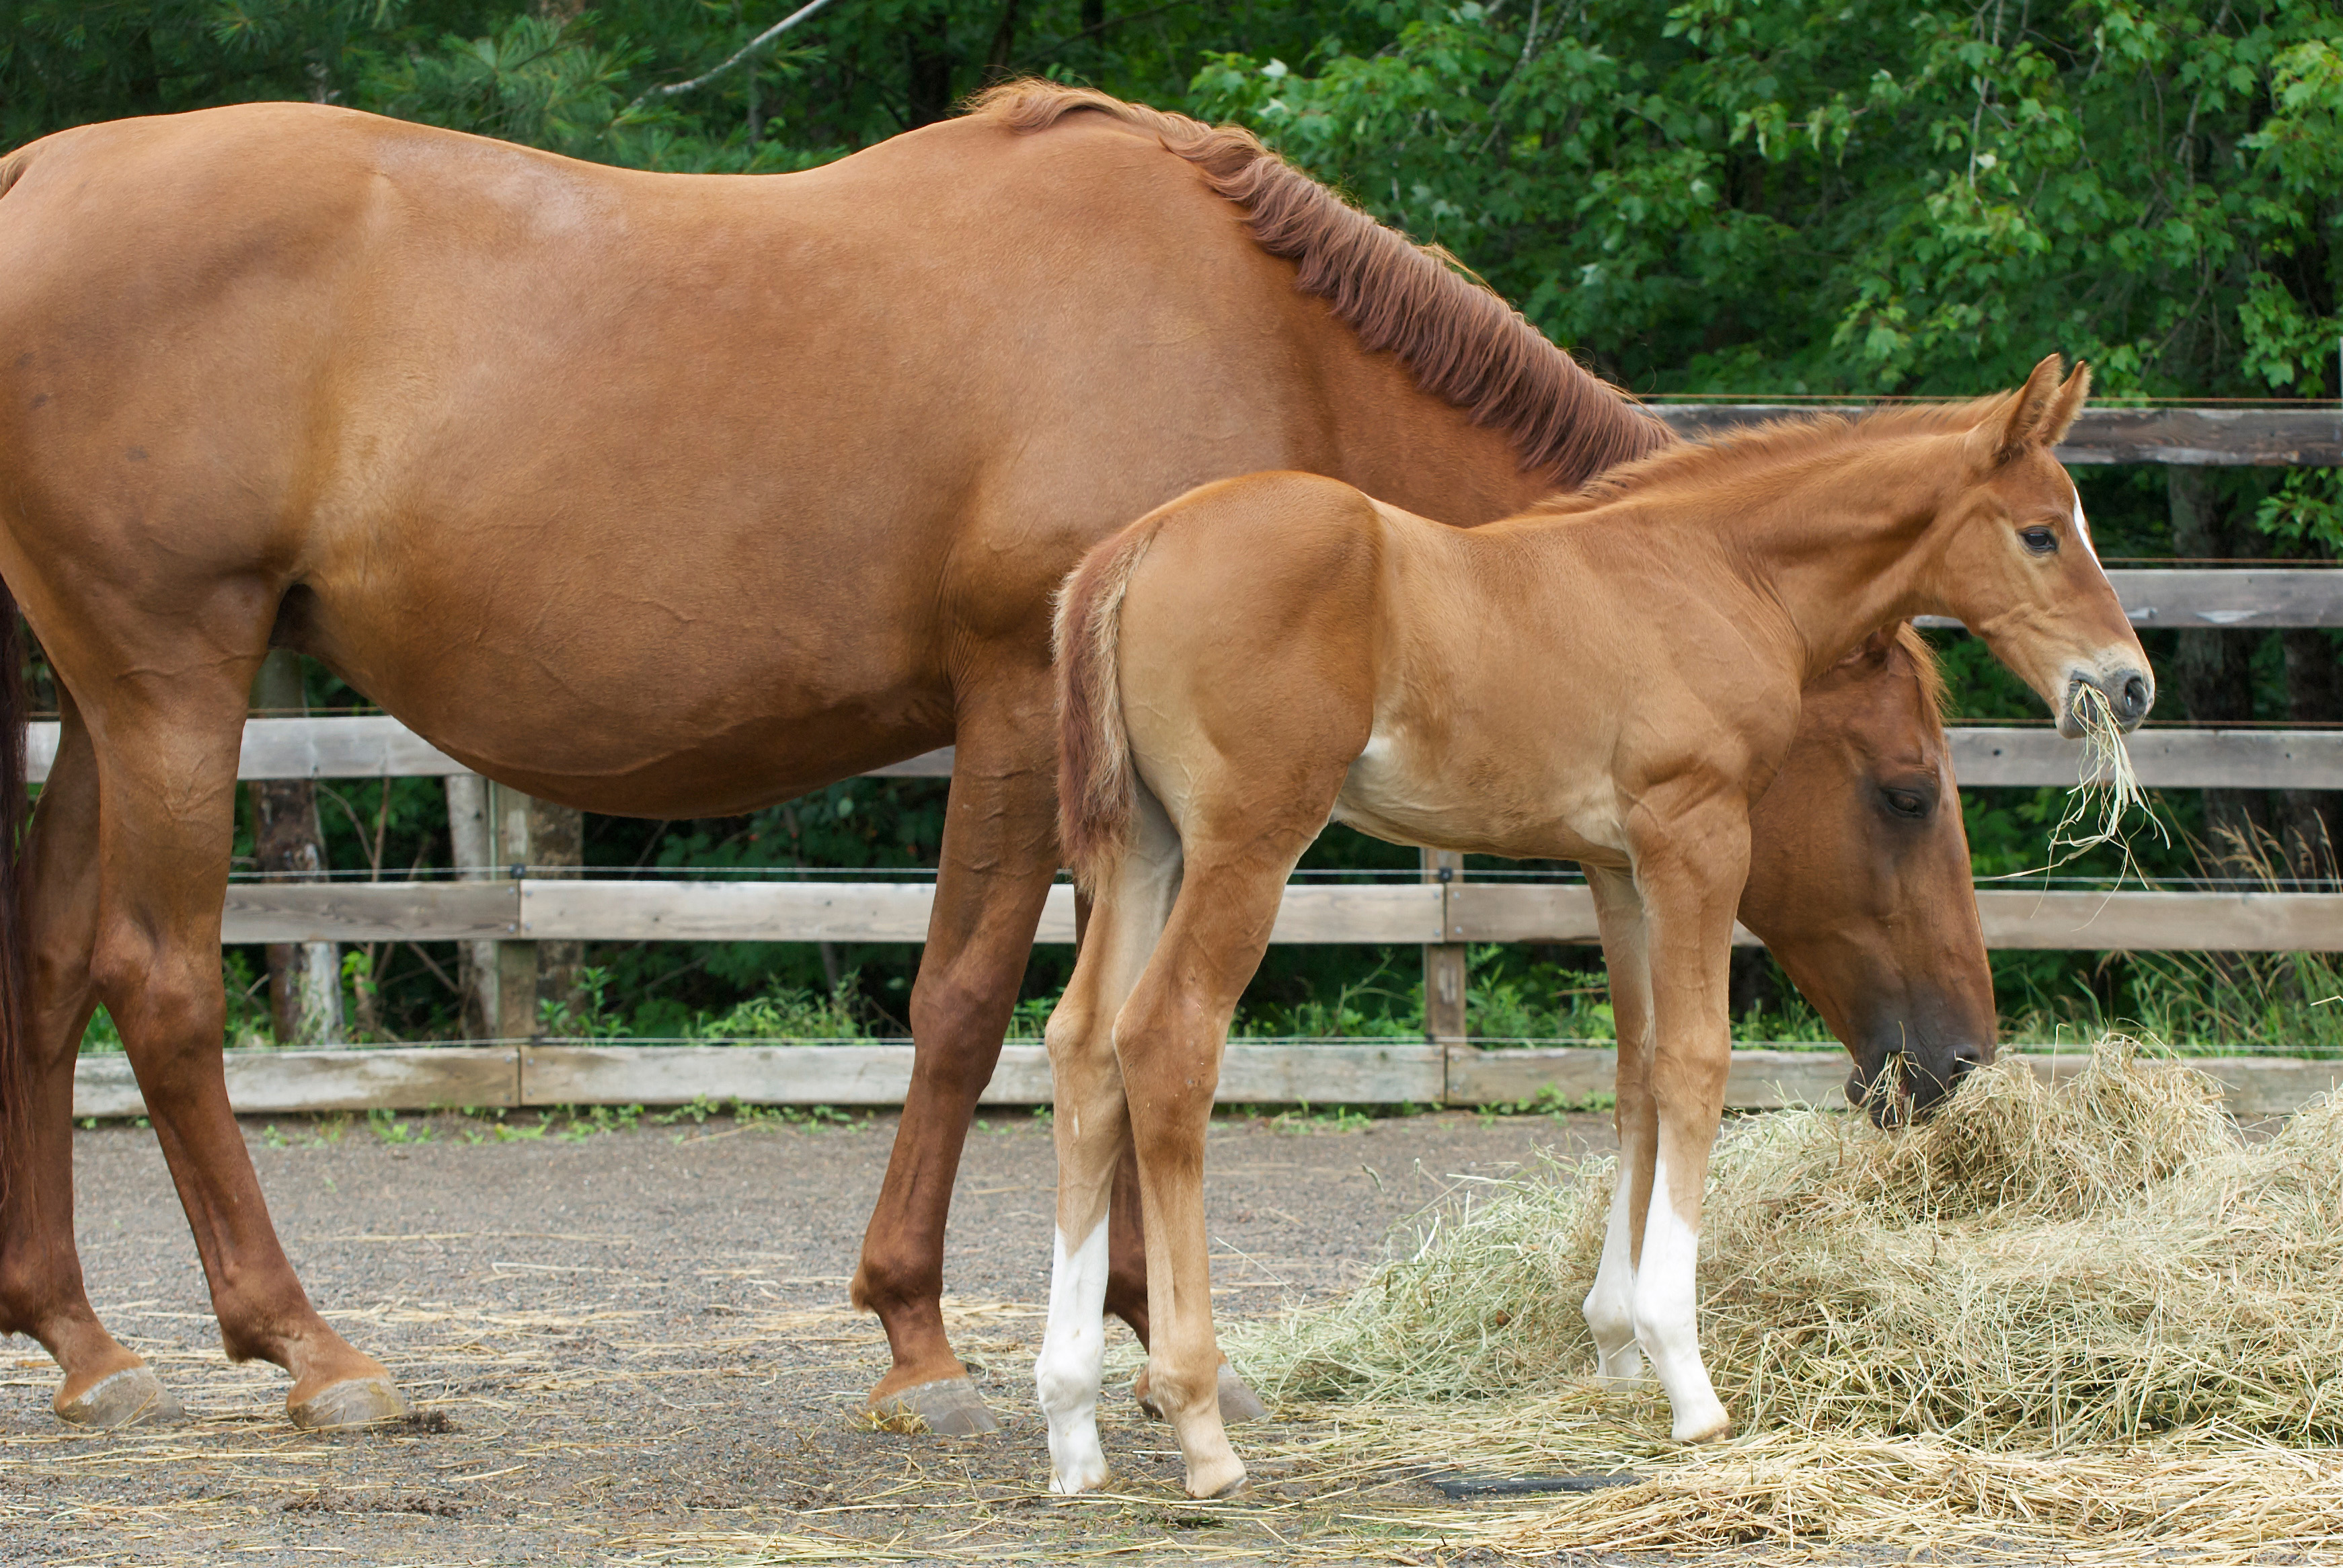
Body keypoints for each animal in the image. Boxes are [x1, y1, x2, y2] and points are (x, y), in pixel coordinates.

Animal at [0, 82, 1987, 1434]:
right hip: (175, 673)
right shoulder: (1027, 717)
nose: (1958, 1056)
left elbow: (1105, 1020)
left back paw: (81, 1340)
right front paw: (927, 1335)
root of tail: (35, 175)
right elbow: (977, 1002)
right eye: (1902, 787)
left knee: (47, 969)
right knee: (157, 982)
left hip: (97, 701)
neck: (1241, 322)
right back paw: (306, 1346)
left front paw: (1132, 1313)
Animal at [1044, 360, 2146, 1499]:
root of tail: (1136, 547)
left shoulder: (1618, 865)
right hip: (1247, 845)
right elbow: (1698, 1065)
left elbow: (1637, 1069)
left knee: (1081, 1045)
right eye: (2040, 534)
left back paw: (1072, 1425)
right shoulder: (1696, 835)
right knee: (1165, 1039)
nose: (2127, 684)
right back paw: (1198, 1424)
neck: (1715, 573)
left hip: (1146, 848)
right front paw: (1686, 1374)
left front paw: (1618, 1345)